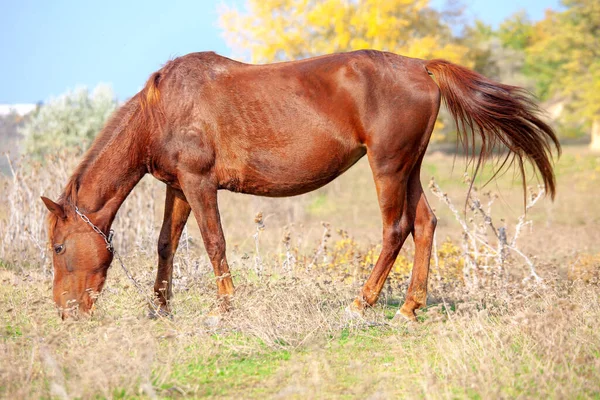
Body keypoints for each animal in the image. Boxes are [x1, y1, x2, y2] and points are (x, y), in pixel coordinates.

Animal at [41, 49, 556, 322]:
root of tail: (419, 66)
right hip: (408, 168)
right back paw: (410, 308)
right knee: (425, 224)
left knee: (396, 229)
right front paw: (161, 308)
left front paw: (225, 309)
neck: (162, 108)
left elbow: (214, 242)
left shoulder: (200, 184)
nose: (65, 312)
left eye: (59, 248)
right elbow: (167, 243)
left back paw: (361, 303)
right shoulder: (179, 186)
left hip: (388, 167)